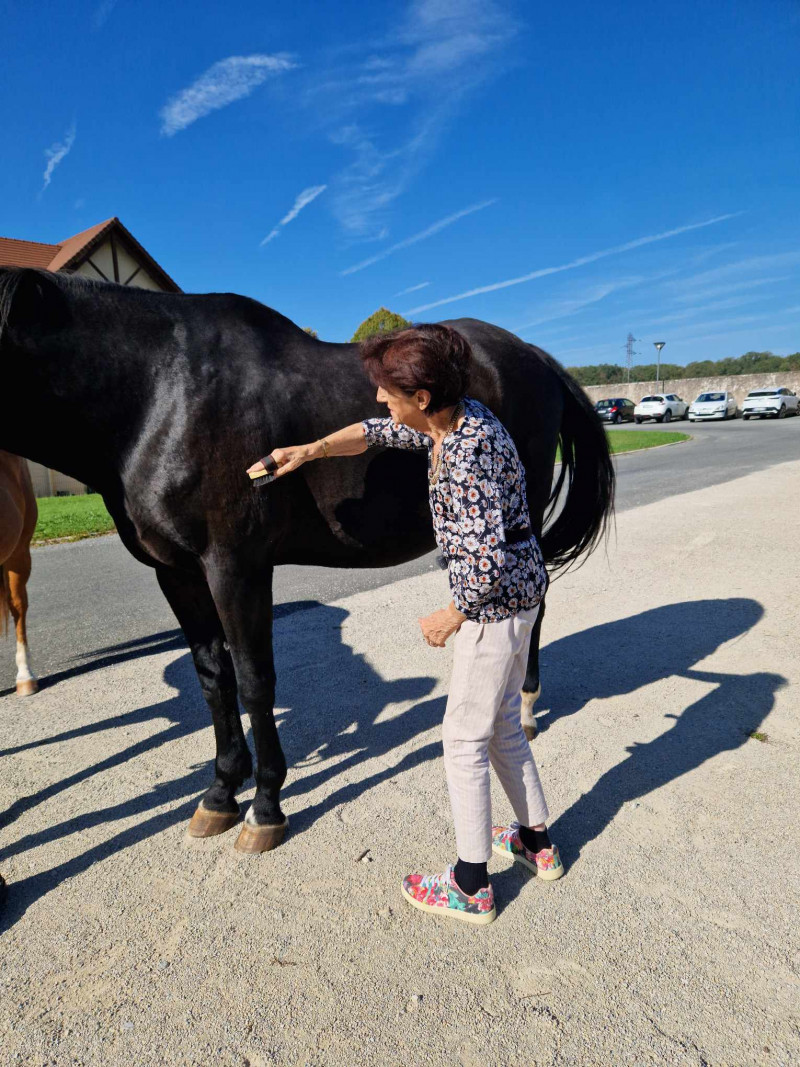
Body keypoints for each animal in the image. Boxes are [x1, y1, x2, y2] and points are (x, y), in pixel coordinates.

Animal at [0, 271, 614, 853]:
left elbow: (254, 682)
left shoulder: (235, 567)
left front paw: (265, 805)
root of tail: (533, 354)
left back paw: (527, 708)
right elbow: (213, 679)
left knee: (531, 602)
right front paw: (220, 794)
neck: (158, 394)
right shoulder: (176, 573)